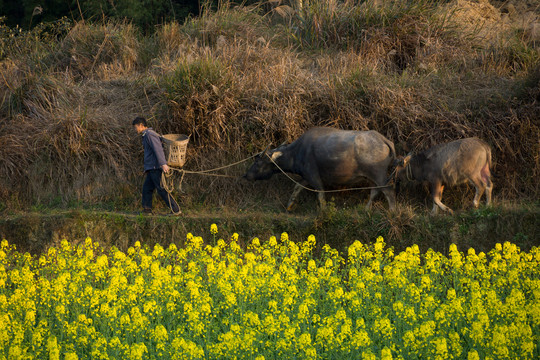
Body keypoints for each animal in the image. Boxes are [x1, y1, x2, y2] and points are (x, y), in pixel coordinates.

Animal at [243, 126, 394, 211]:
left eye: (258, 162)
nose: (246, 175)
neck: (298, 152)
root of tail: (383, 140)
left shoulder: (313, 176)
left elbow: (320, 194)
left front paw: (324, 211)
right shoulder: (306, 176)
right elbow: (297, 187)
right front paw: (289, 205)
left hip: (379, 175)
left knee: (388, 191)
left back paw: (392, 211)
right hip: (372, 177)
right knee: (375, 191)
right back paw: (367, 209)